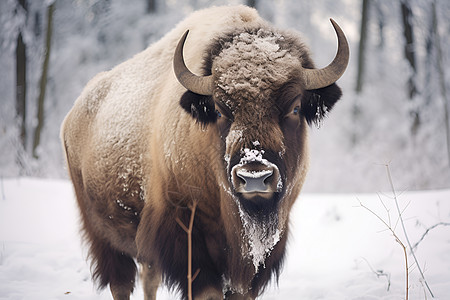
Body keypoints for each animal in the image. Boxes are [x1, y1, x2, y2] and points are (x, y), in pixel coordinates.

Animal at [60, 4, 348, 300]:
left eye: (294, 108)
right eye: (220, 110)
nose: (254, 177)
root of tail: (73, 116)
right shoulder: (185, 235)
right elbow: (207, 289)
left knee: (148, 278)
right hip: (103, 235)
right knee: (121, 282)